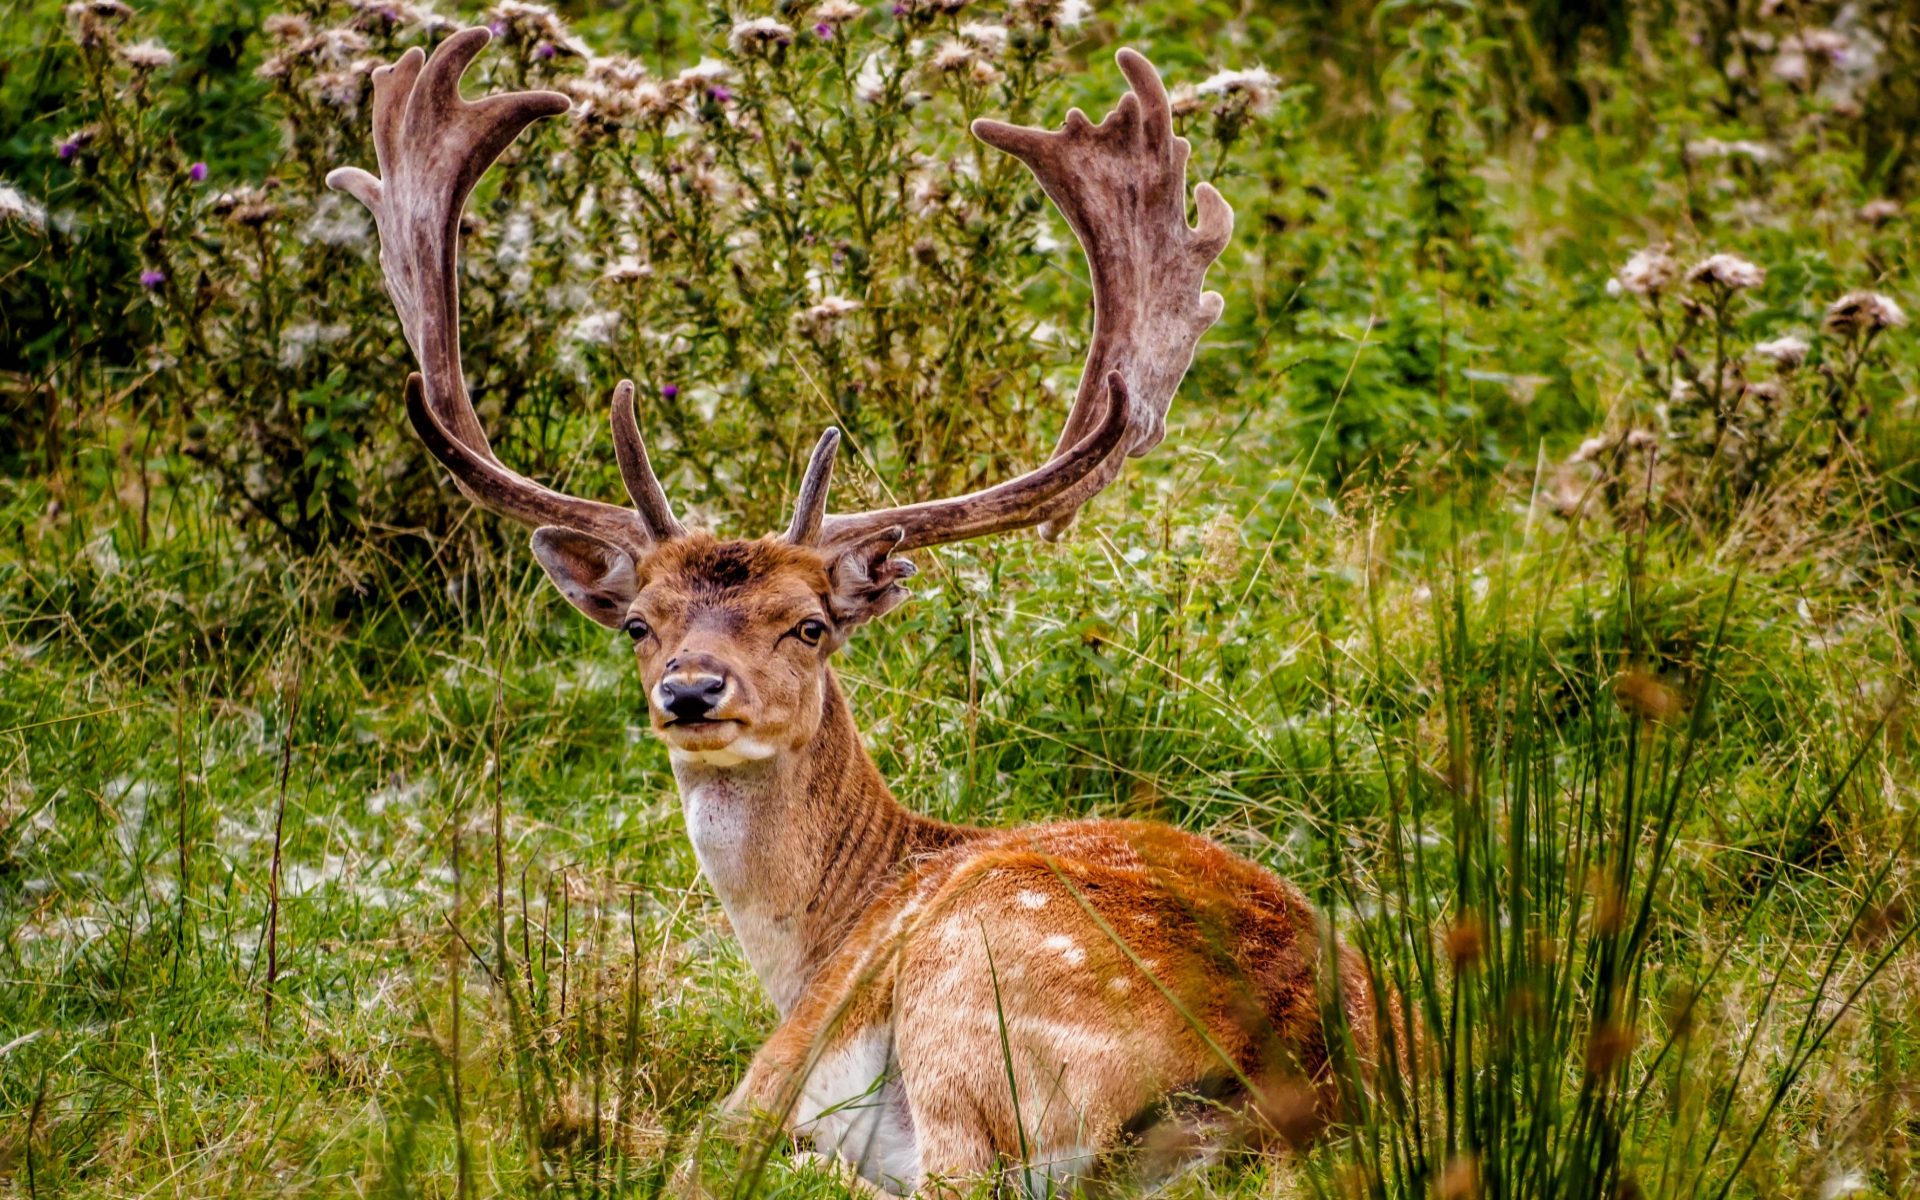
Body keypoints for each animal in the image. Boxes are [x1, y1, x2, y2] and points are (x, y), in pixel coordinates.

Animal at [330, 28, 1382, 1190]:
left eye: (809, 624)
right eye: (641, 622)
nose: (692, 691)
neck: (822, 930)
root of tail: (1288, 1067)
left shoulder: (788, 1047)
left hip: (975, 988)